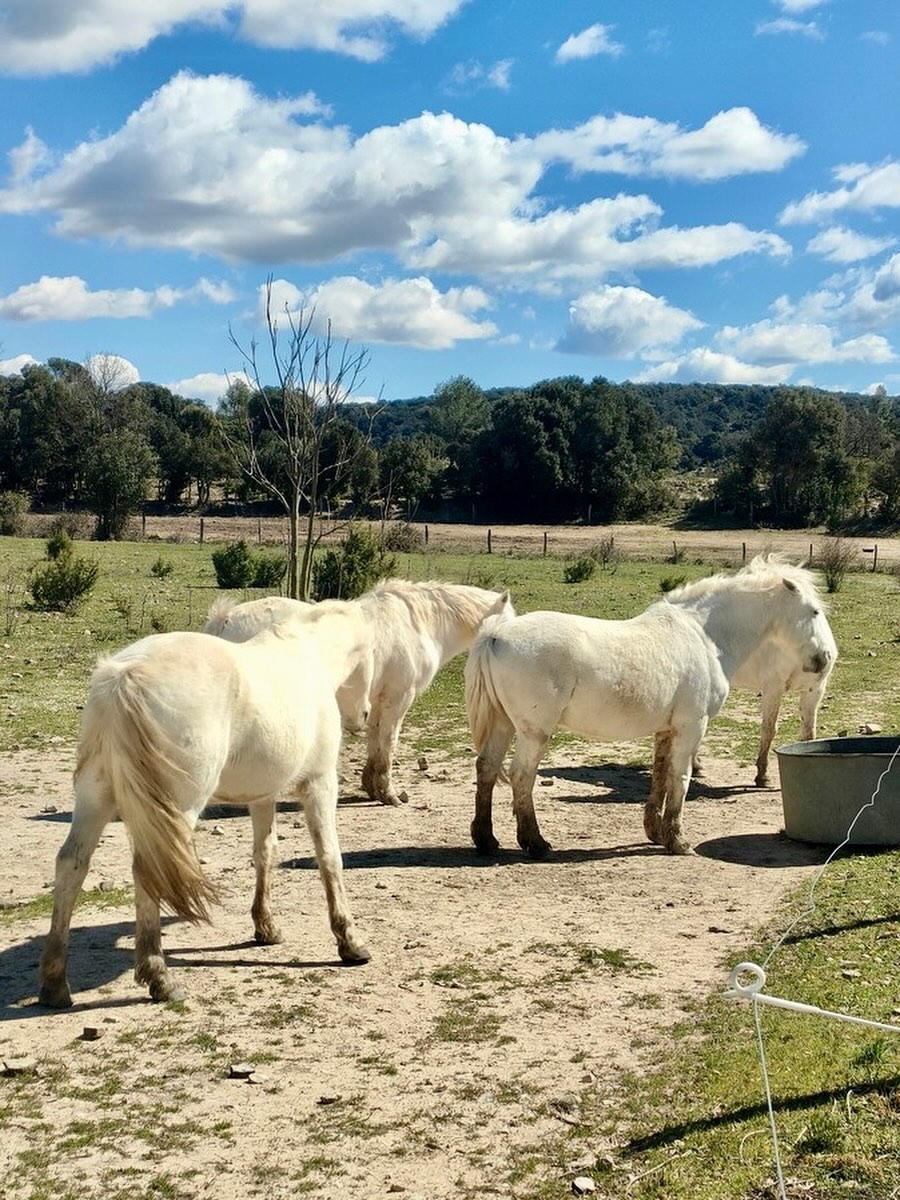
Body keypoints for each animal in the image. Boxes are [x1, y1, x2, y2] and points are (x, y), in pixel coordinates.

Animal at [39, 615, 371, 1008]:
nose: (364, 715)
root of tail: (124, 675)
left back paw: (55, 984)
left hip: (95, 799)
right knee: (146, 871)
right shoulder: (320, 784)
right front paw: (349, 942)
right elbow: (329, 858)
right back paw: (160, 978)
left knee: (71, 865)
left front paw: (266, 927)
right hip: (177, 809)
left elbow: (265, 854)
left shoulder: (262, 795)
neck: (310, 656)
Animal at [204, 579, 514, 806]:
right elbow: (388, 744)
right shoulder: (397, 701)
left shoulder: (377, 703)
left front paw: (372, 788)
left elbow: (375, 743)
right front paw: (389, 794)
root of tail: (226, 618)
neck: (419, 624)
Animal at [464, 559, 835, 859]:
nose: (825, 658)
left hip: (504, 725)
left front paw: (656, 833)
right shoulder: (691, 727)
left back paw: (487, 840)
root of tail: (496, 634)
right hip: (534, 733)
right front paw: (678, 841)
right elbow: (680, 779)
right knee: (521, 776)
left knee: (487, 768)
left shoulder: (665, 730)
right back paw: (536, 843)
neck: (704, 635)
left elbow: (659, 777)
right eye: (814, 612)